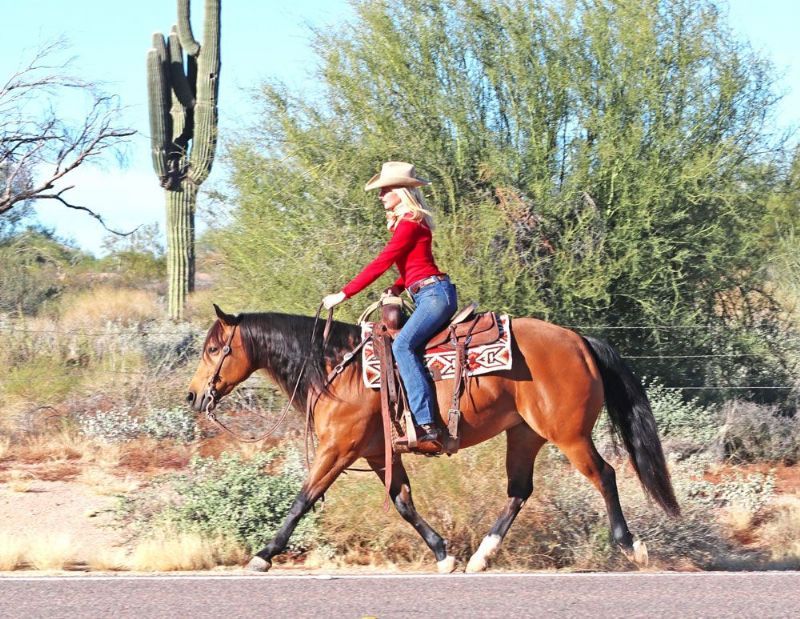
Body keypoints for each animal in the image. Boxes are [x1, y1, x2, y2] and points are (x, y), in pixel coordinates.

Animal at [187, 304, 679, 573]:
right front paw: (443, 553)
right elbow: (403, 501)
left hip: (569, 434)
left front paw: (264, 554)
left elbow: (303, 498)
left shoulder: (339, 448)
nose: (193, 395)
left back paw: (630, 545)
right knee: (519, 491)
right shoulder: (377, 453)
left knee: (605, 475)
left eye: (213, 349)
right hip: (524, 434)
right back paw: (482, 555)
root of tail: (579, 341)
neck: (336, 368)